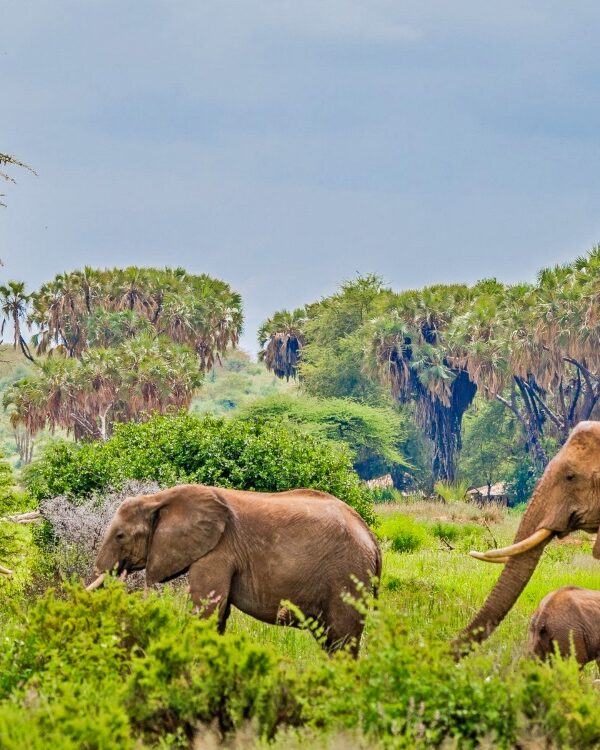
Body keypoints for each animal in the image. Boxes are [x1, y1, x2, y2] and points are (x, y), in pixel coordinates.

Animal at [87, 484, 382, 656]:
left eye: (120, 536)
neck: (158, 498)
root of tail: (372, 539)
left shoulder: (217, 551)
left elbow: (207, 612)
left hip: (347, 575)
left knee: (342, 641)